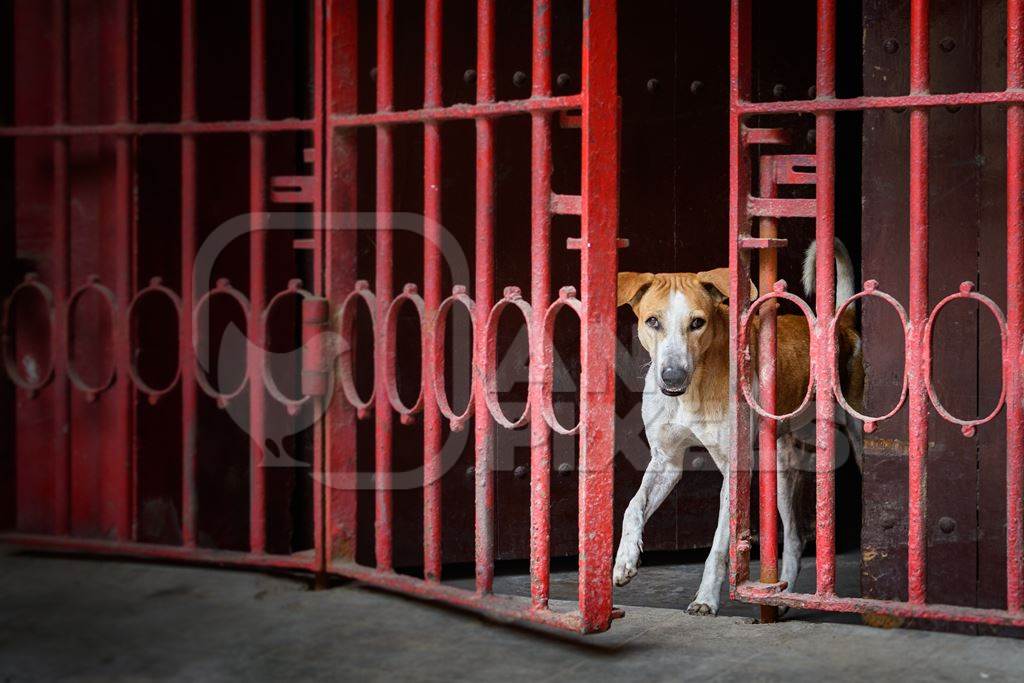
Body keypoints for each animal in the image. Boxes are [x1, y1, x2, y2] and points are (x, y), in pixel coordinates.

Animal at [614, 239, 864, 614]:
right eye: (652, 321)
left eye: (697, 322)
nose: (672, 376)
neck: (692, 390)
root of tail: (841, 324)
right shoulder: (665, 461)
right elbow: (632, 506)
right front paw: (625, 560)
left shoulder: (734, 470)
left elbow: (719, 546)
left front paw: (705, 598)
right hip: (781, 467)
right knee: (794, 536)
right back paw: (783, 595)